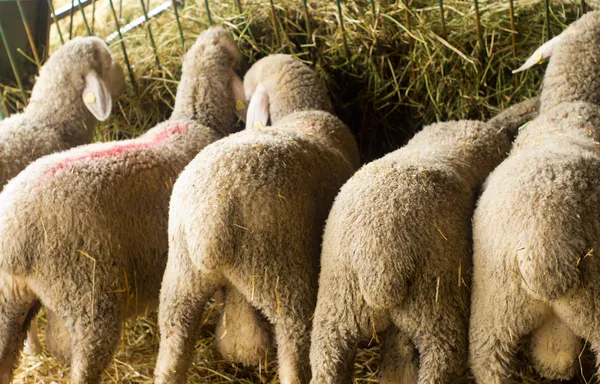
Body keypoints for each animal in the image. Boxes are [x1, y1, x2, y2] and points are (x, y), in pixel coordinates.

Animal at [155, 54, 360, 384]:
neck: (300, 111)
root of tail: (208, 219)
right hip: (278, 277)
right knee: (293, 341)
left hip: (180, 280)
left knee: (172, 347)